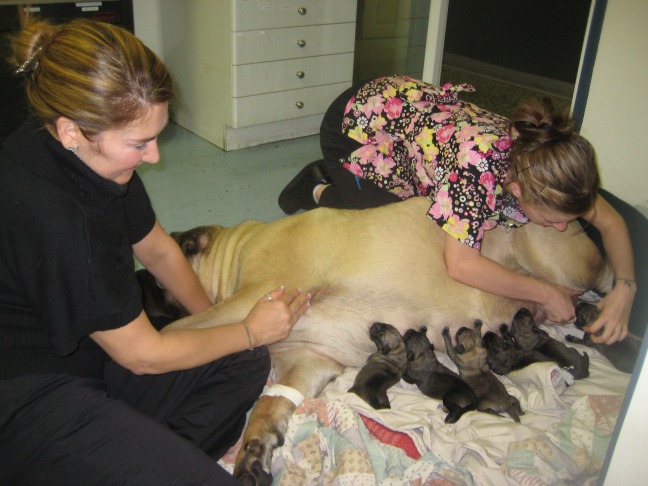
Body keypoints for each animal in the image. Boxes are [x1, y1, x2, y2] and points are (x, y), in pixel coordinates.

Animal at [151, 196, 612, 482]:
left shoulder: (252, 297)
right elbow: (269, 403)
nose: (142, 286)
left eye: (154, 284)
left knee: (601, 279)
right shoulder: (307, 361)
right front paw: (253, 448)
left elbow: (176, 331)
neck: (236, 249)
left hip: (552, 256)